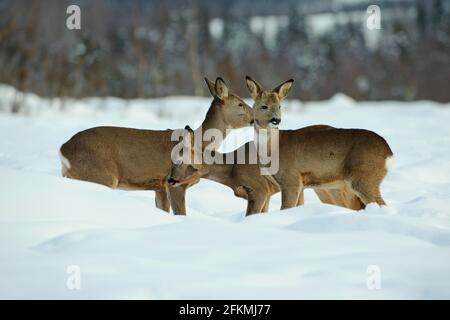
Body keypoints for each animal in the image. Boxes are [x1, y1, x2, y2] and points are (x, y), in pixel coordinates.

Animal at [59, 77, 253, 215]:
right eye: (240, 104)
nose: (254, 118)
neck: (199, 143)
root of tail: (63, 149)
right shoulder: (173, 183)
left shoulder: (159, 187)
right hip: (101, 174)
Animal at [246, 75, 394, 210]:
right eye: (264, 106)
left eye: (279, 106)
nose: (276, 120)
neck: (273, 149)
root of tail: (389, 153)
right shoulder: (299, 183)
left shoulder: (291, 178)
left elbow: (286, 208)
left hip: (363, 176)